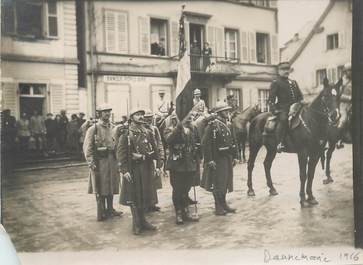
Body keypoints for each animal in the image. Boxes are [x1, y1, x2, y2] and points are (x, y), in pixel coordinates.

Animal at [246, 77, 342, 207]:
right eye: (325, 96)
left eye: (338, 97)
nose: (335, 116)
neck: (312, 122)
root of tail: (255, 118)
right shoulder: (302, 153)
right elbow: (303, 175)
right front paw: (303, 199)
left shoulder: (315, 154)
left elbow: (310, 174)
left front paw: (311, 197)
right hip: (255, 146)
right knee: (250, 165)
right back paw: (250, 190)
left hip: (272, 149)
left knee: (267, 164)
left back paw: (272, 189)